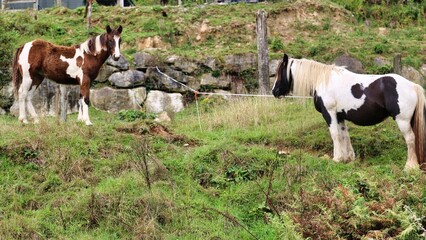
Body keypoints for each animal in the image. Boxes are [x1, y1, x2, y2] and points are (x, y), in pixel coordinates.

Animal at [272, 54, 424, 171]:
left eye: (280, 72)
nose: (274, 92)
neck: (323, 81)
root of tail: (413, 86)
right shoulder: (340, 116)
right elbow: (344, 135)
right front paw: (347, 158)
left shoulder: (329, 114)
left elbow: (335, 135)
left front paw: (337, 158)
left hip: (403, 121)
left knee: (410, 139)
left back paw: (410, 166)